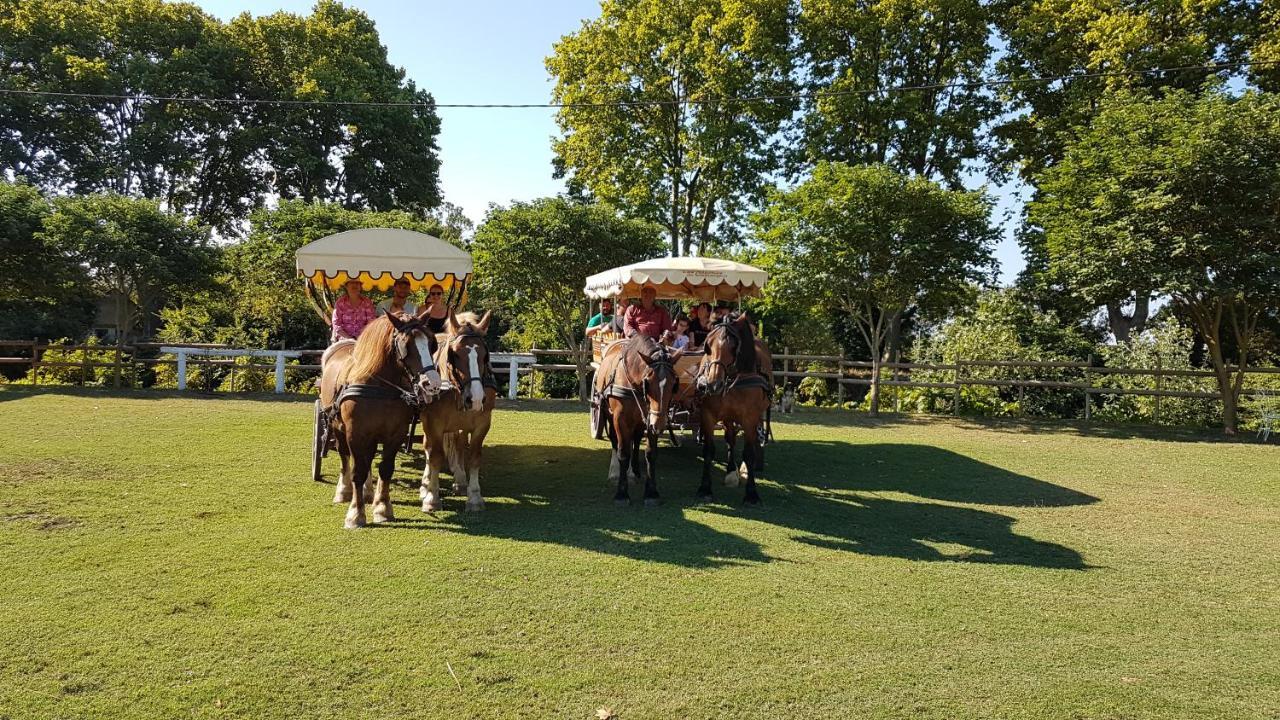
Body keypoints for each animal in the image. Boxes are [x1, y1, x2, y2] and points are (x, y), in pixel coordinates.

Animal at [318, 313, 440, 527]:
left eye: (432, 344)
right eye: (406, 345)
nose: (432, 384)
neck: (378, 387)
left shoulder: (395, 433)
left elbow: (385, 469)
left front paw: (382, 507)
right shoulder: (355, 433)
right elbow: (357, 471)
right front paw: (355, 513)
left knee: (368, 458)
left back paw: (367, 492)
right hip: (337, 426)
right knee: (345, 456)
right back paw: (344, 490)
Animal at [422, 311, 496, 512]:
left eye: (484, 355)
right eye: (455, 354)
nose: (476, 398)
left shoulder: (482, 423)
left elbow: (474, 456)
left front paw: (474, 496)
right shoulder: (433, 423)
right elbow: (435, 456)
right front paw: (432, 497)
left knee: (458, 444)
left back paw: (460, 480)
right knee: (428, 448)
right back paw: (425, 484)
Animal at [596, 333, 680, 502]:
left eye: (674, 384)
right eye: (647, 383)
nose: (659, 425)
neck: (634, 383)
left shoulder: (650, 420)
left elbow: (650, 453)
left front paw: (651, 492)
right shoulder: (620, 419)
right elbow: (623, 452)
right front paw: (622, 493)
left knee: (635, 440)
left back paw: (634, 470)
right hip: (608, 414)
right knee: (616, 441)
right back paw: (616, 472)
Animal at [701, 313, 768, 504]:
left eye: (733, 346)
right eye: (708, 345)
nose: (713, 385)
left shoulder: (750, 418)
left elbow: (749, 453)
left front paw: (751, 493)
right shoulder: (707, 414)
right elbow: (708, 451)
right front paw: (705, 488)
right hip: (728, 417)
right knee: (730, 438)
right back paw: (731, 470)